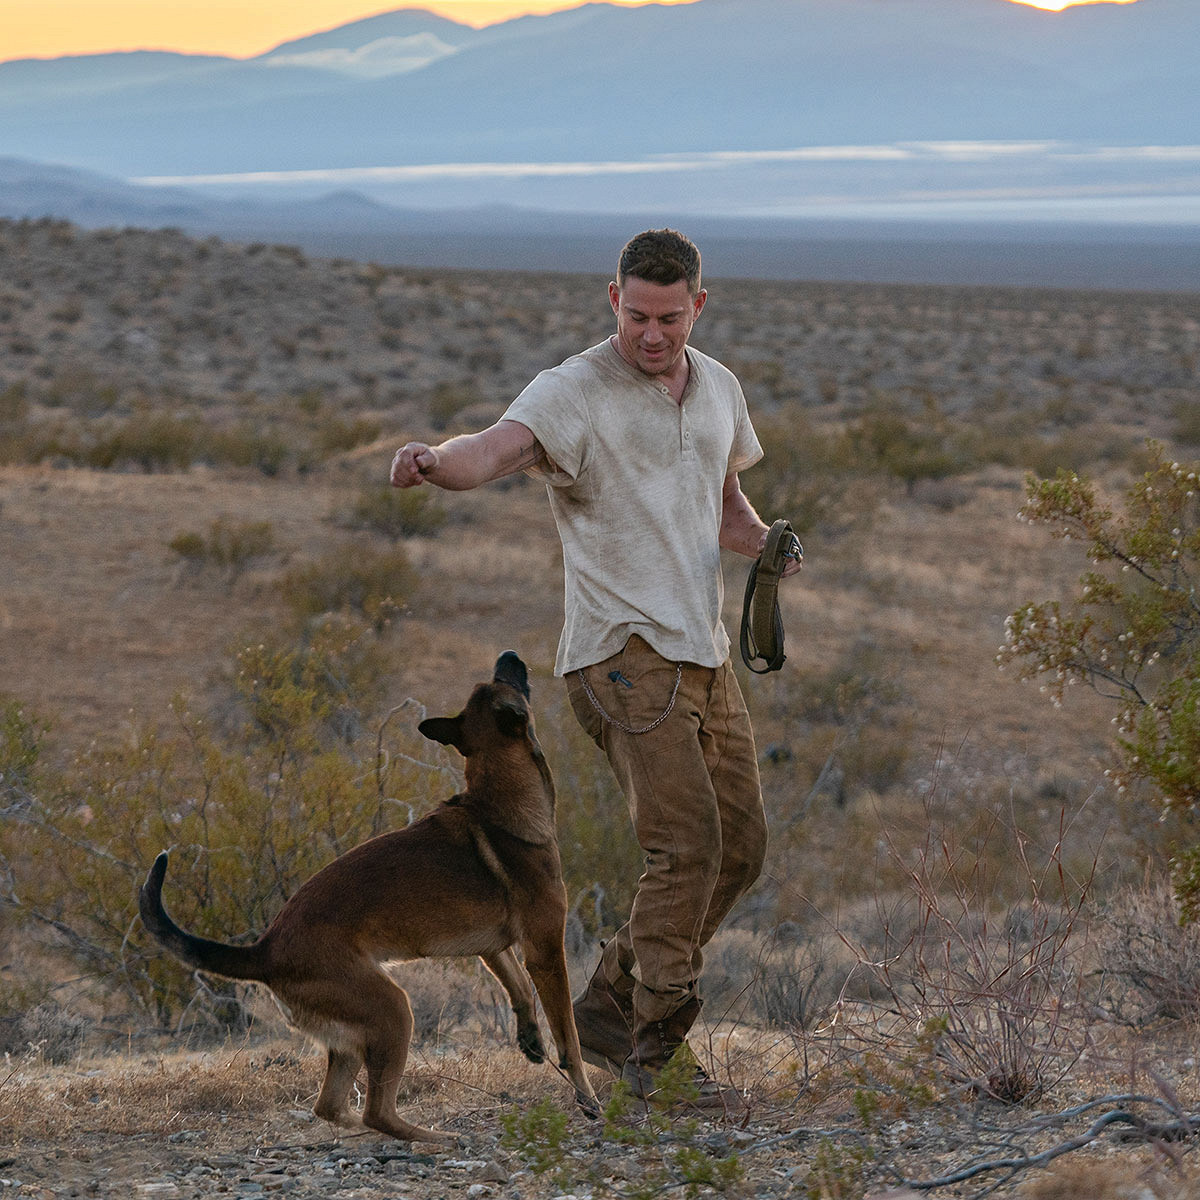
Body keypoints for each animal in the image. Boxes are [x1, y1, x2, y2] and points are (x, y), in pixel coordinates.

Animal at [139, 657, 600, 1142]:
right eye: (505, 680)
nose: (509, 655)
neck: (497, 798)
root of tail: (264, 950)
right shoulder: (546, 949)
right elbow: (569, 1038)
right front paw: (588, 1099)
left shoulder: (494, 947)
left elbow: (519, 989)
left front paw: (530, 1039)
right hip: (394, 1011)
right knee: (376, 1111)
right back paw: (438, 1138)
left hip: (353, 1035)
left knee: (332, 1106)